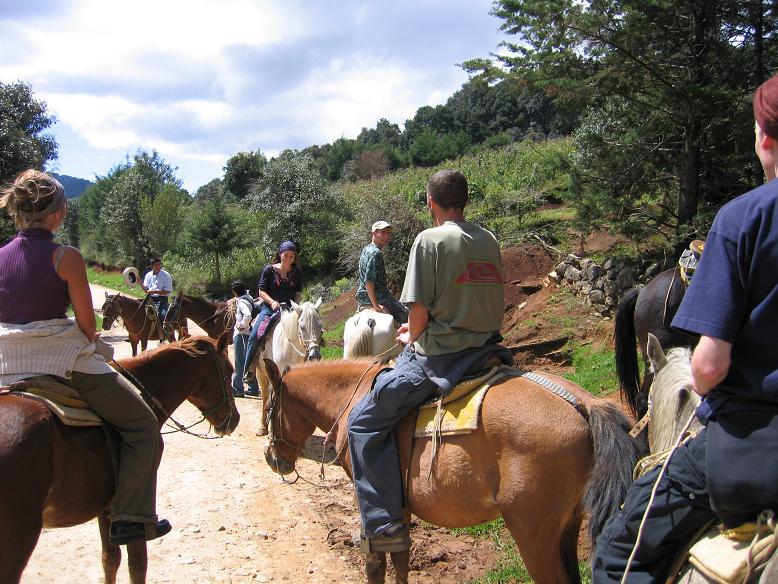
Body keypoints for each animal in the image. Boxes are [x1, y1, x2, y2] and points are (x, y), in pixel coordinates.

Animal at [0, 336, 239, 584]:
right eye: (229, 370)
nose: (235, 420)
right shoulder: (136, 506)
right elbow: (137, 563)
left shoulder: (107, 506)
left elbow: (110, 558)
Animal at [255, 302, 322, 434]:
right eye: (302, 326)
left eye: (320, 326)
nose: (314, 356)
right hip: (260, 371)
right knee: (265, 394)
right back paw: (262, 427)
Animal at [264, 358, 640, 580]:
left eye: (269, 407)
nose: (272, 459)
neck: (350, 401)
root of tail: (583, 403)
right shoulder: (399, 507)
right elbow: (400, 558)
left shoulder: (370, 500)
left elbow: (375, 562)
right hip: (566, 526)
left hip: (533, 534)